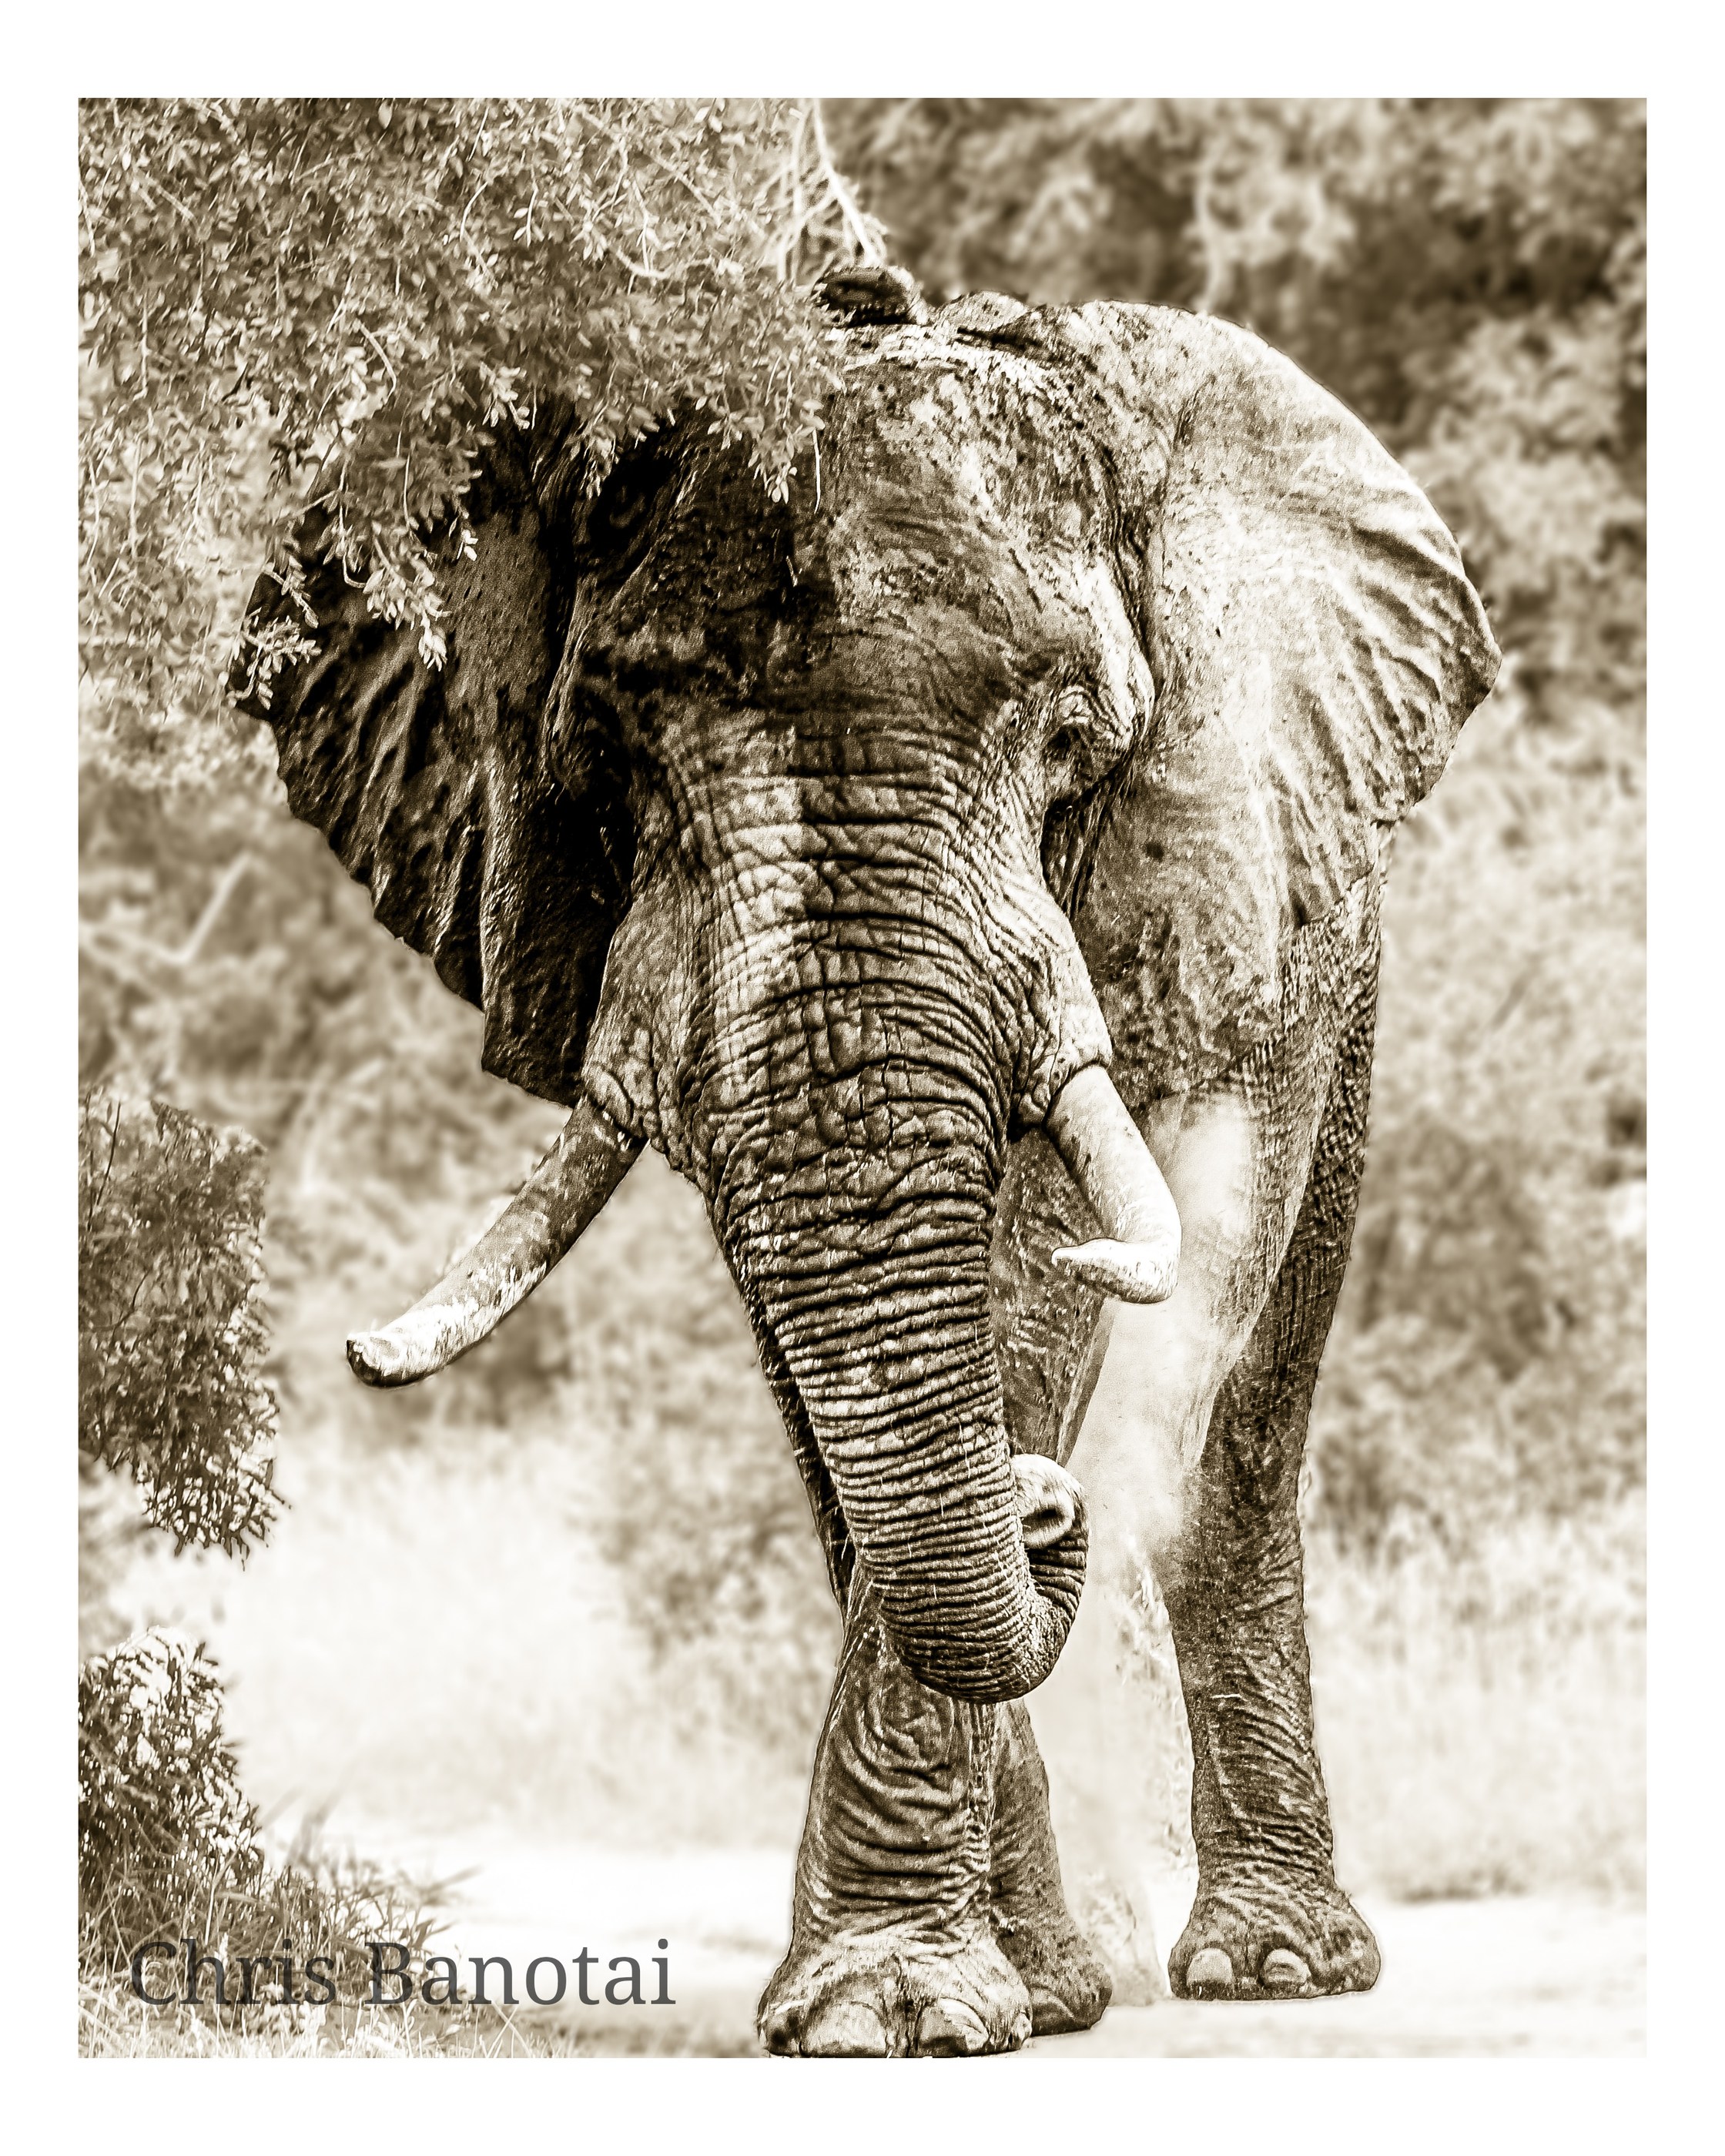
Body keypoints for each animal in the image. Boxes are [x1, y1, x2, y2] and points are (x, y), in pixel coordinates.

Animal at [235, 266, 1497, 2055]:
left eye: (1069, 737)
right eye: (613, 749)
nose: (1040, 1509)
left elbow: (1033, 1281)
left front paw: (894, 2004)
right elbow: (829, 1358)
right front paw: (968, 1993)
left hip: (1336, 940)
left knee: (1239, 1421)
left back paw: (1276, 1966)